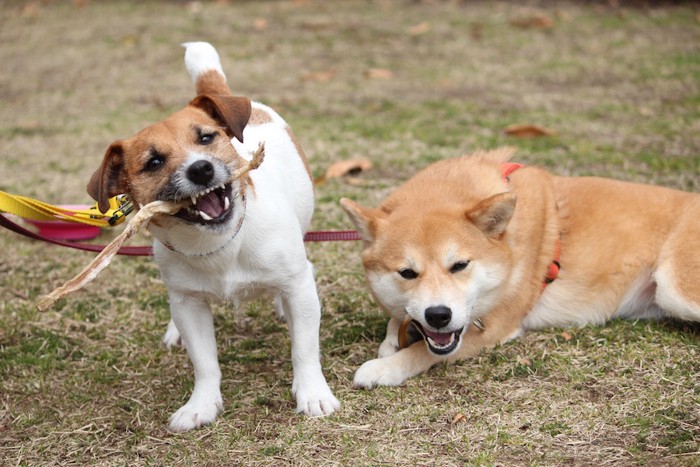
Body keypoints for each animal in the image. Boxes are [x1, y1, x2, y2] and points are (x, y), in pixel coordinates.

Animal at [87, 43, 340, 432]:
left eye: (206, 138)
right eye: (154, 162)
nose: (201, 168)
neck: (223, 243)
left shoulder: (297, 286)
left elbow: (304, 348)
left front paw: (312, 393)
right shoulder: (189, 304)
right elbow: (205, 363)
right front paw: (201, 405)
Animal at [340, 149, 700, 388]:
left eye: (460, 265)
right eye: (407, 273)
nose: (438, 315)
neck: (510, 245)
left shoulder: (493, 329)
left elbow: (423, 354)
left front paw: (383, 368)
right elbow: (397, 323)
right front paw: (393, 338)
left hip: (675, 288)